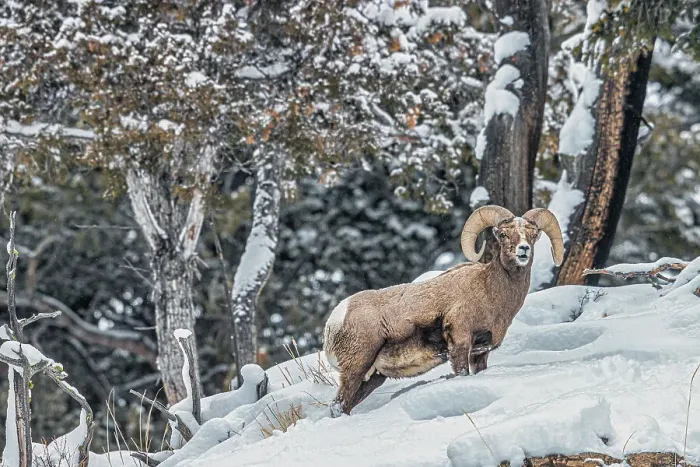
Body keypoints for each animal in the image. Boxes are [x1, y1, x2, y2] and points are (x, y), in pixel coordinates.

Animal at [323, 205, 564, 417]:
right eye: (503, 234)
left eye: (533, 234)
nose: (524, 250)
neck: (490, 291)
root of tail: (334, 322)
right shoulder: (460, 342)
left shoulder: (481, 351)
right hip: (356, 369)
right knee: (338, 405)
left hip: (372, 377)